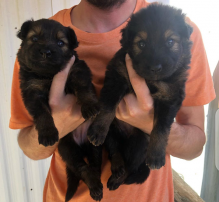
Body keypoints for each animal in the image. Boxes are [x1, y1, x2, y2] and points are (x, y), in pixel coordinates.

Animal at [16, 19, 102, 202]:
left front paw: (89, 105)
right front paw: (48, 133)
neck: (48, 75)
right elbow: (42, 114)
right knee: (82, 168)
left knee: (94, 165)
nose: (45, 52)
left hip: (94, 147)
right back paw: (94, 185)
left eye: (60, 43)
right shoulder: (32, 91)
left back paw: (96, 186)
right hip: (67, 148)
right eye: (34, 38)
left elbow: (83, 88)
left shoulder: (78, 70)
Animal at [86, 3, 192, 170]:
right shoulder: (117, 77)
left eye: (170, 42)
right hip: (114, 134)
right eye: (141, 44)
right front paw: (98, 130)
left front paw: (156, 155)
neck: (149, 80)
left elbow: (161, 128)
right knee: (115, 148)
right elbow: (108, 107)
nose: (155, 68)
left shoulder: (169, 96)